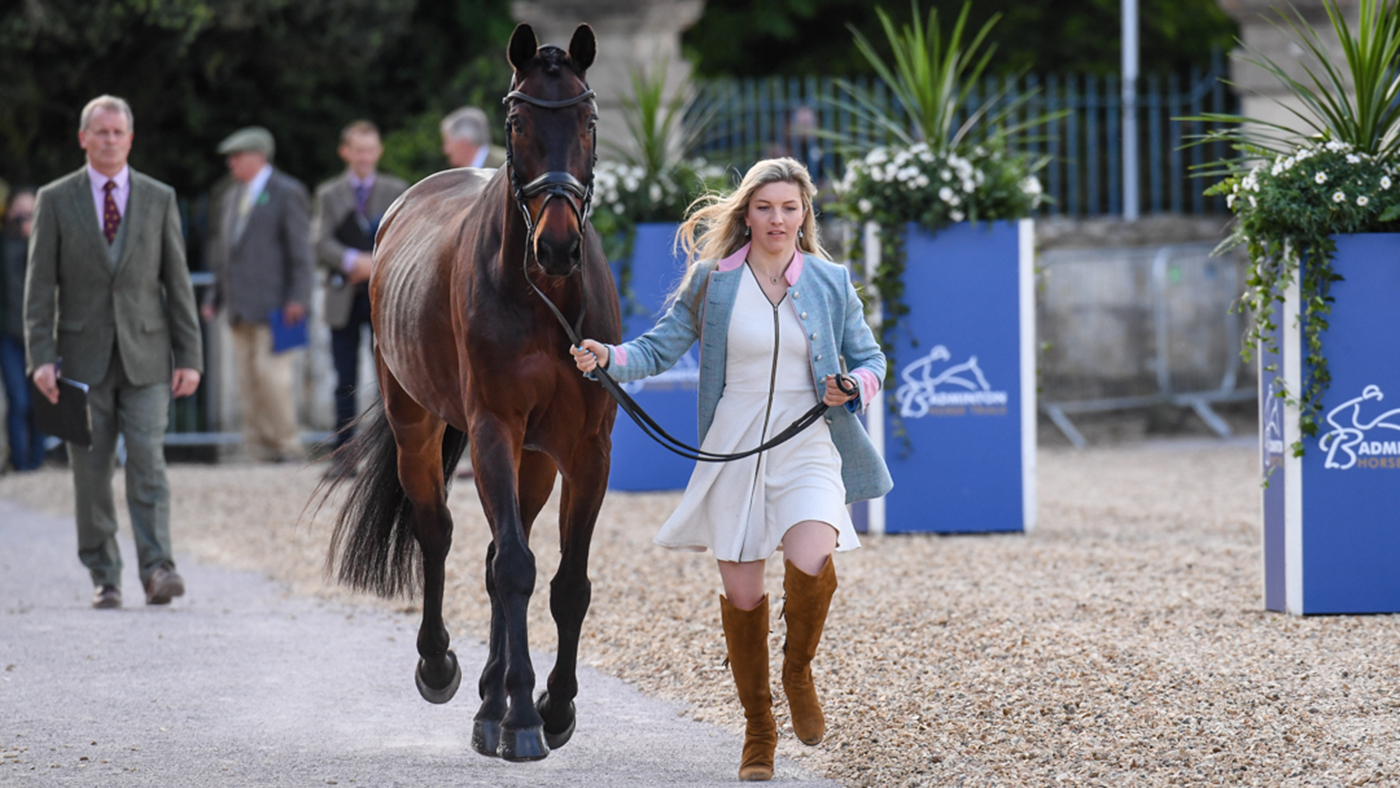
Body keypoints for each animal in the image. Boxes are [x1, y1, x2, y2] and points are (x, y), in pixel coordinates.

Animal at [318, 23, 619, 762]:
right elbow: (514, 568)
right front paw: (524, 719)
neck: (545, 298)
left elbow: (567, 582)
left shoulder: (587, 449)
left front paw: (554, 708)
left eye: (588, 120)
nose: (558, 246)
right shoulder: (491, 430)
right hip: (420, 428)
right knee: (439, 533)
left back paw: (491, 698)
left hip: (535, 459)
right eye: (518, 122)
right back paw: (447, 672)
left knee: (495, 554)